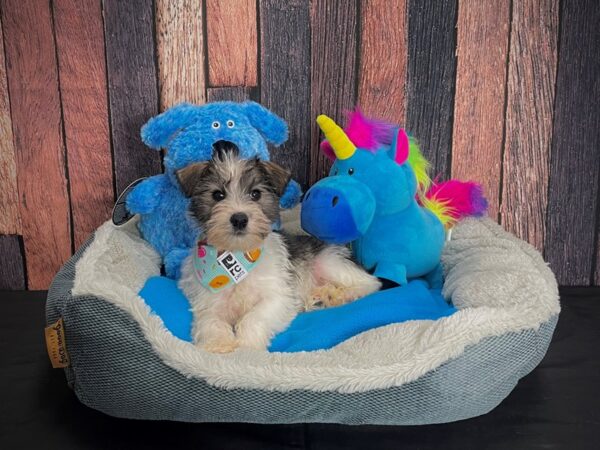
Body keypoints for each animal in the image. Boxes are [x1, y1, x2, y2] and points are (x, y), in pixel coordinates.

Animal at [176, 146, 380, 354]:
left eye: (255, 194)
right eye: (217, 195)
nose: (239, 219)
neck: (238, 256)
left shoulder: (278, 297)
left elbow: (253, 318)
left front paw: (247, 346)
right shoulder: (207, 302)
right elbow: (210, 321)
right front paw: (218, 344)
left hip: (329, 261)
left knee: (371, 283)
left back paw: (339, 295)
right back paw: (321, 296)